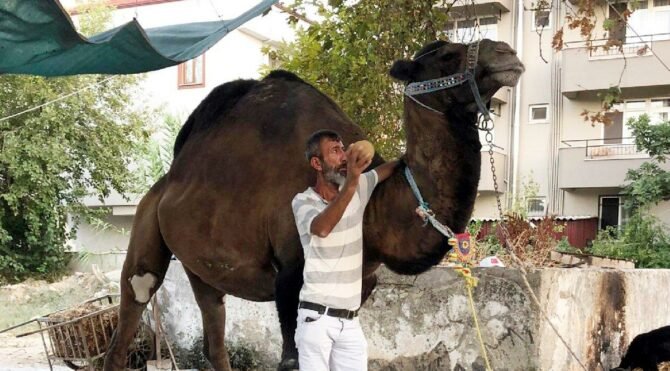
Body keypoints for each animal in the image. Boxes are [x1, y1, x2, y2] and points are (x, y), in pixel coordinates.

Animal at [103, 39, 524, 370]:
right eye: (448, 55)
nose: (508, 53)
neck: (373, 214)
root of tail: (167, 182)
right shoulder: (290, 274)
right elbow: (291, 359)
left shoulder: (362, 284)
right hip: (145, 226)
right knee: (132, 303)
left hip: (200, 266)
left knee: (213, 333)